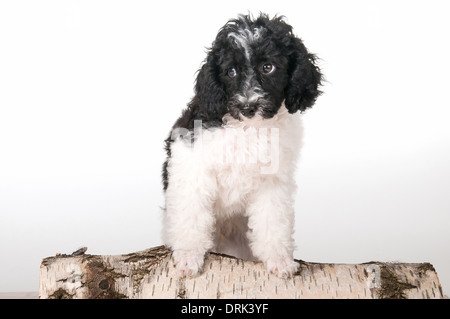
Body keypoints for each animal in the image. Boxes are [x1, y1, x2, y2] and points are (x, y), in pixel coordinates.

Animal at [160, 13, 322, 278]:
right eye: (231, 71)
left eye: (268, 67)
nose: (248, 107)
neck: (248, 128)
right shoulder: (192, 166)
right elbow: (191, 216)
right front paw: (188, 256)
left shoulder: (272, 183)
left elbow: (273, 221)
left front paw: (279, 260)